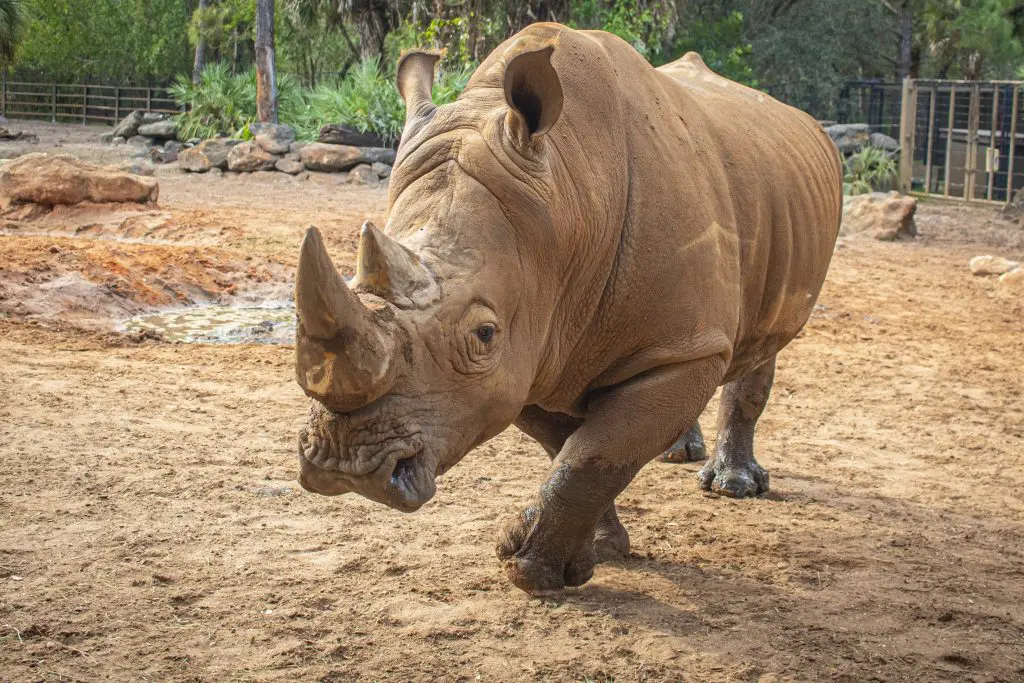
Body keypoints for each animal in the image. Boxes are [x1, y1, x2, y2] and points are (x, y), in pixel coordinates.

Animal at [294, 23, 842, 594]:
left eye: (484, 334)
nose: (347, 465)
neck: (568, 202)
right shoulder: (533, 346)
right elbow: (573, 449)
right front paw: (595, 551)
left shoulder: (560, 340)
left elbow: (595, 454)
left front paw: (534, 572)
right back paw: (677, 454)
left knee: (758, 343)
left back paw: (734, 487)